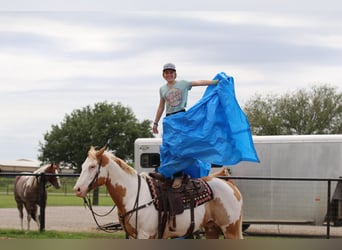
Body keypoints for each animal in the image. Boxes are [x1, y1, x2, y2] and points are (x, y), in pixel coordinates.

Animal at [73, 146, 243, 240]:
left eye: (93, 167)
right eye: (83, 165)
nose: (77, 189)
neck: (134, 193)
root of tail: (229, 184)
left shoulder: (144, 234)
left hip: (231, 229)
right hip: (212, 229)